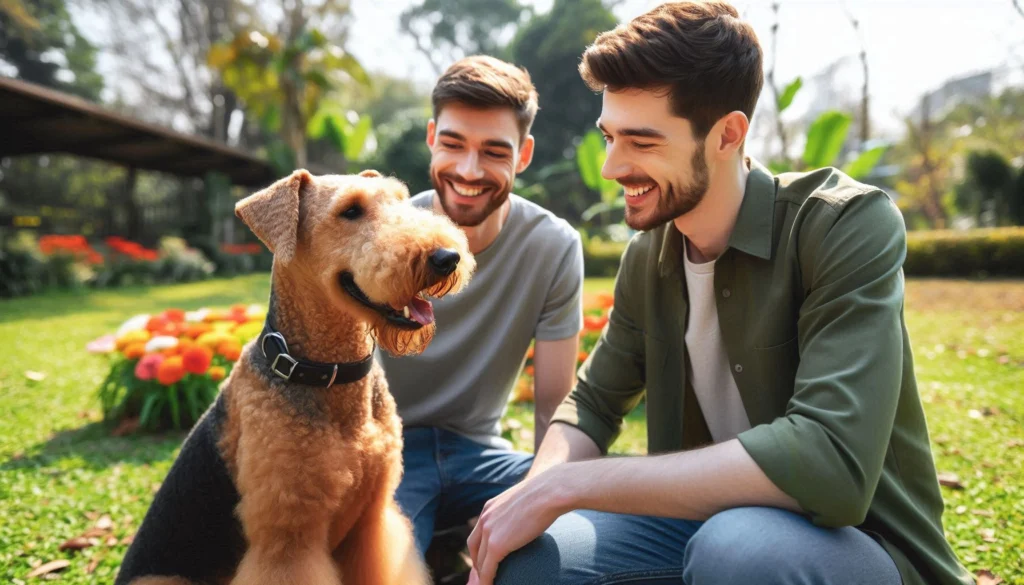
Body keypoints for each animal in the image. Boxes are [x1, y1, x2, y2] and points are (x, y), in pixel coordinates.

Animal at [113, 168, 475, 585]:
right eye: (351, 211)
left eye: (401, 200)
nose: (447, 257)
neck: (328, 374)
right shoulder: (288, 537)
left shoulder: (372, 522)